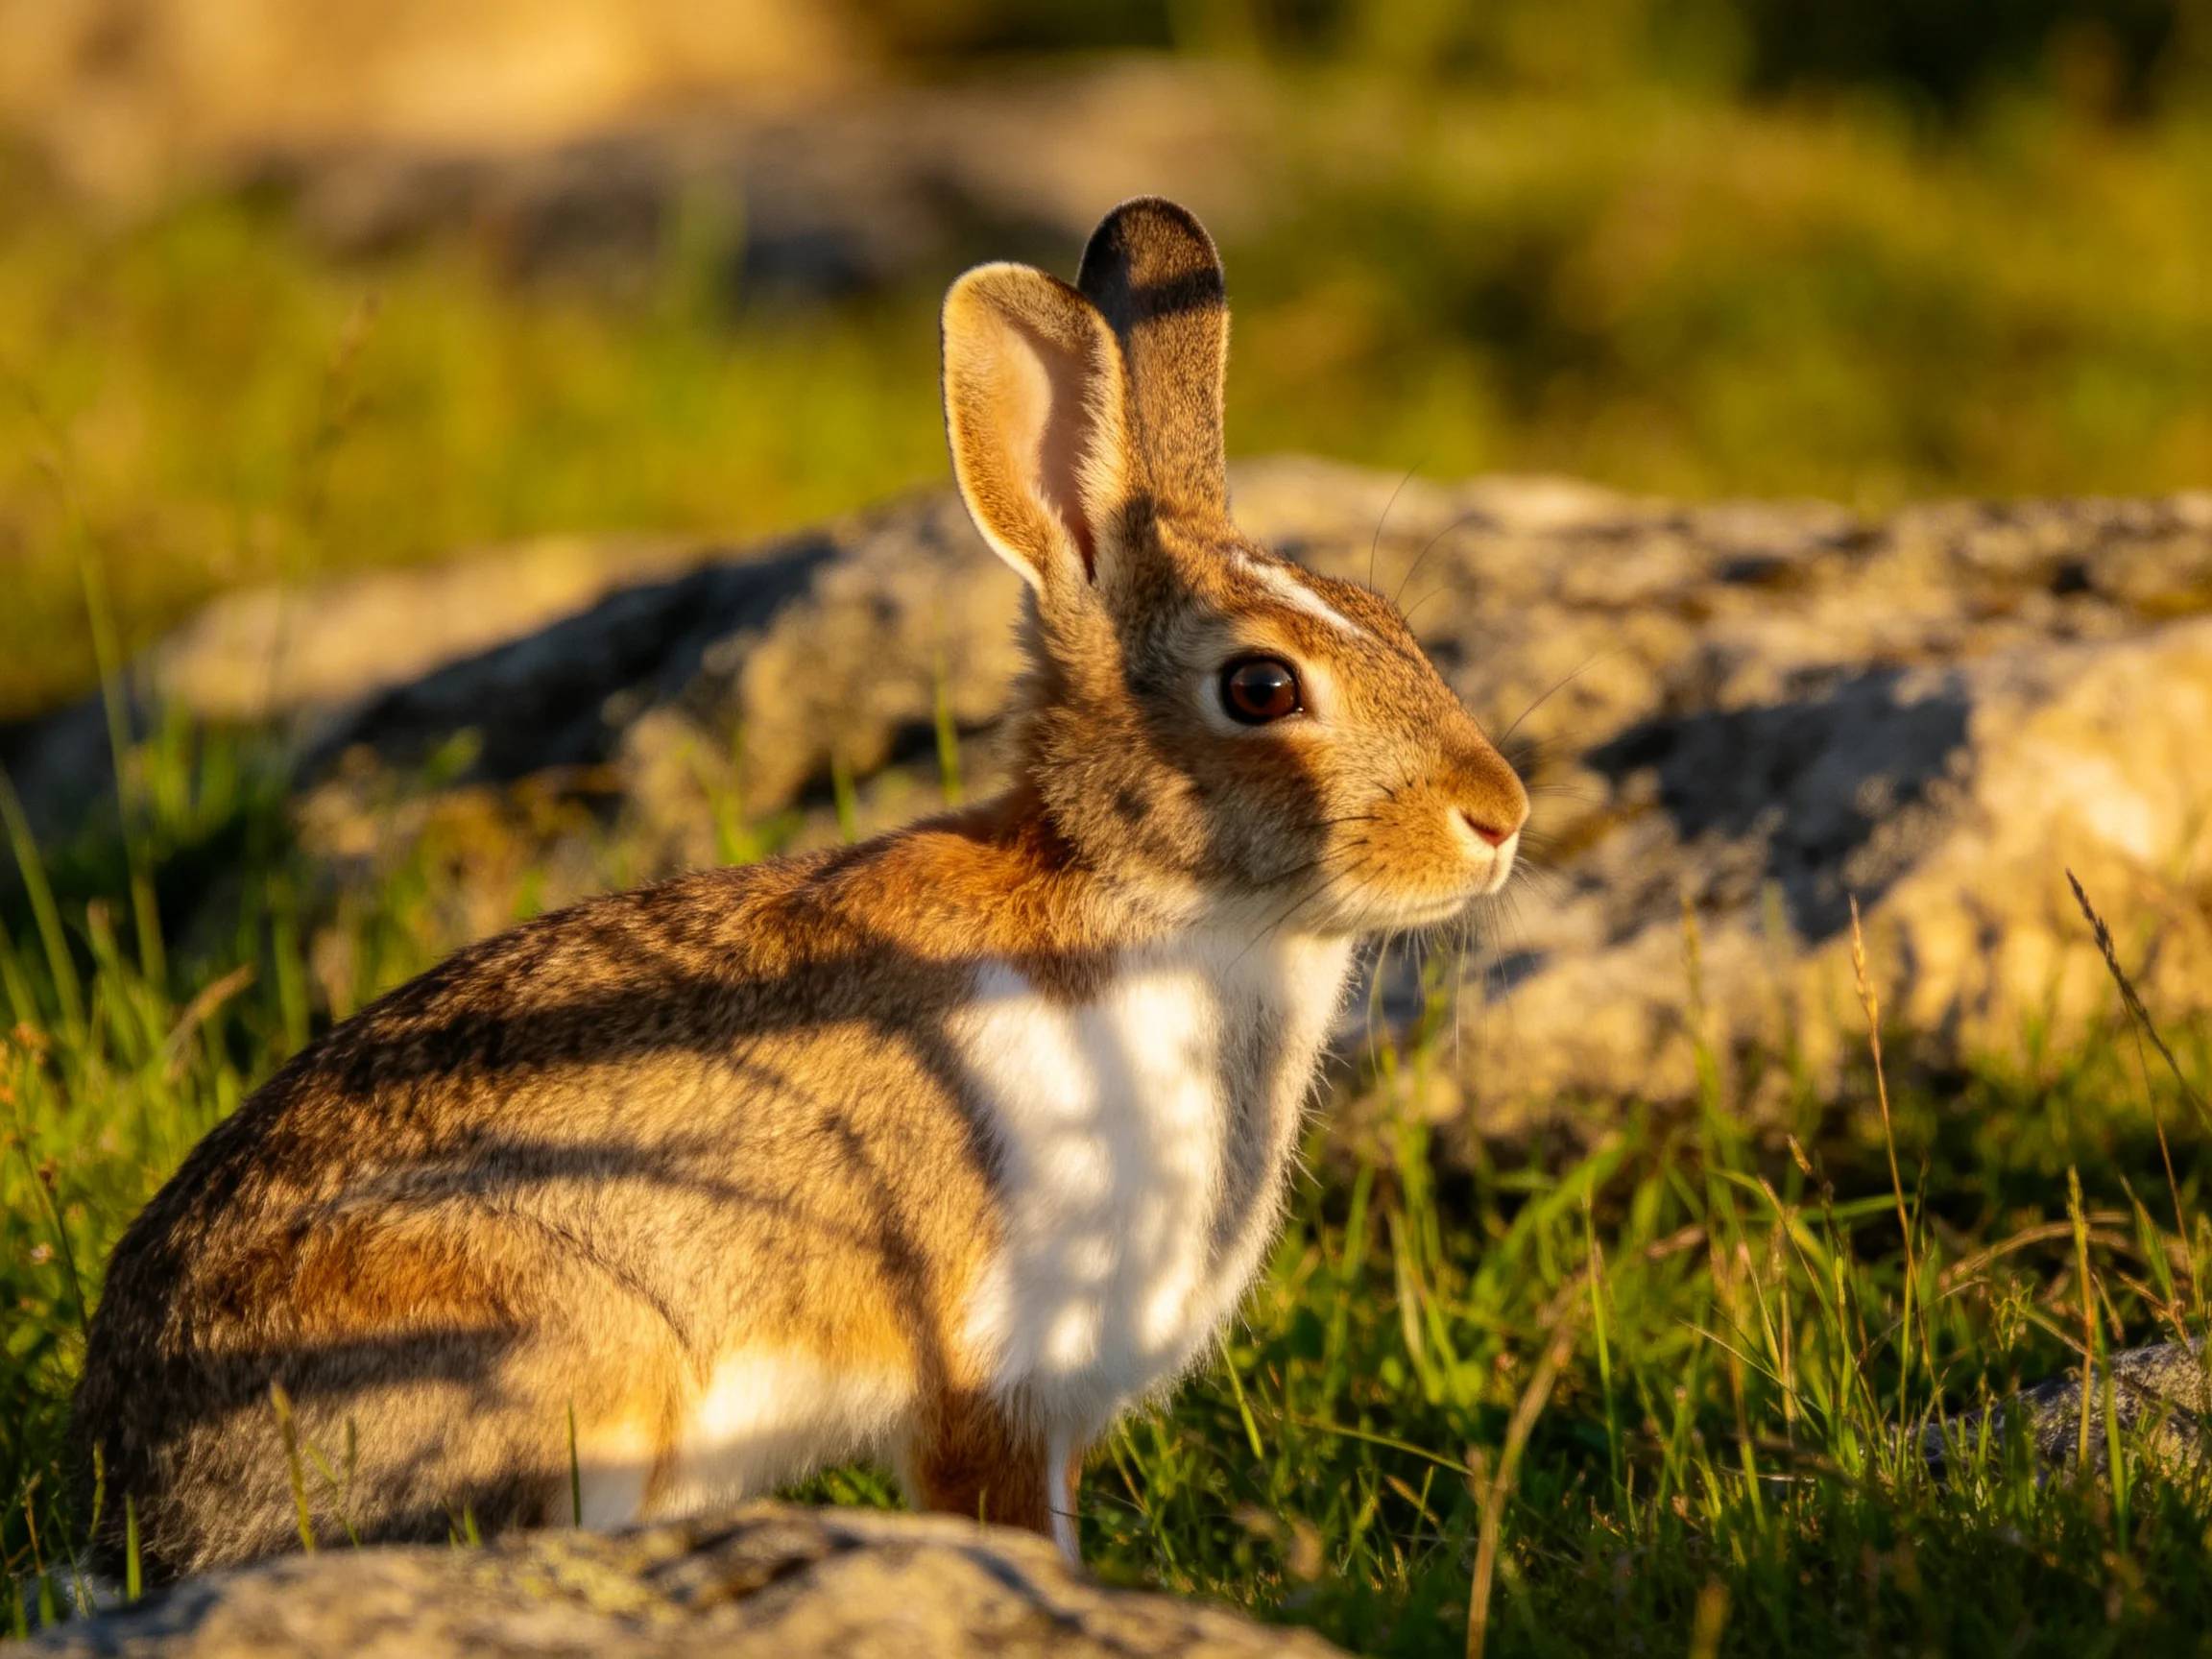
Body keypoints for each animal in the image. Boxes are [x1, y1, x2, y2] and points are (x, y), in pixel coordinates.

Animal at [68, 196, 1529, 1581]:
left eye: (1389, 618)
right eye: (1263, 687)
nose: (1499, 818)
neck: (1153, 903)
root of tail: (143, 1507)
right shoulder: (990, 1373)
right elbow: (1009, 1526)